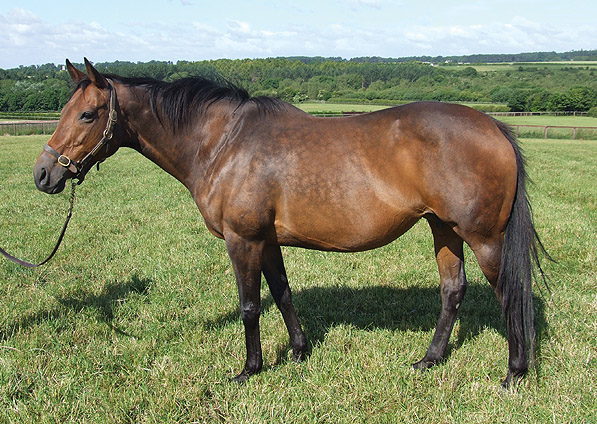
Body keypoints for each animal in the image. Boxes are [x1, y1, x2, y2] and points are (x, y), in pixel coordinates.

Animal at [31, 58, 544, 388]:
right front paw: (298, 351)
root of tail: (495, 127)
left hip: (483, 237)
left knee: (508, 294)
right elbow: (281, 292)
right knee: (452, 292)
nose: (44, 174)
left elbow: (250, 306)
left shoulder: (242, 240)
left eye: (88, 113)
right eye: (64, 110)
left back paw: (513, 374)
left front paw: (249, 370)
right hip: (443, 229)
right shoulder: (268, 240)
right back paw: (429, 360)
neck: (224, 142)